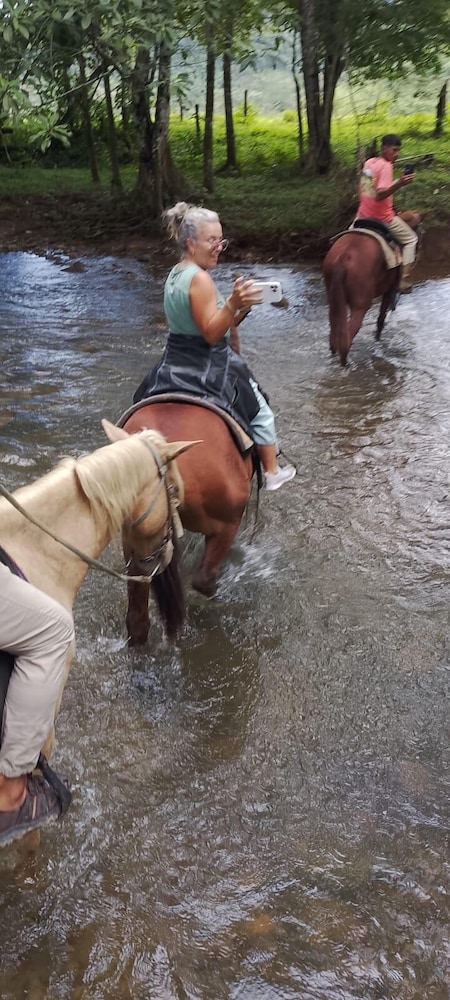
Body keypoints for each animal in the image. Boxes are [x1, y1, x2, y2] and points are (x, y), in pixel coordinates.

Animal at [322, 211, 422, 366]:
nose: (418, 255)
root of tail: (344, 256)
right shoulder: (389, 291)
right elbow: (381, 320)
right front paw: (378, 340)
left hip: (335, 301)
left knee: (334, 337)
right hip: (360, 306)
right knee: (347, 339)